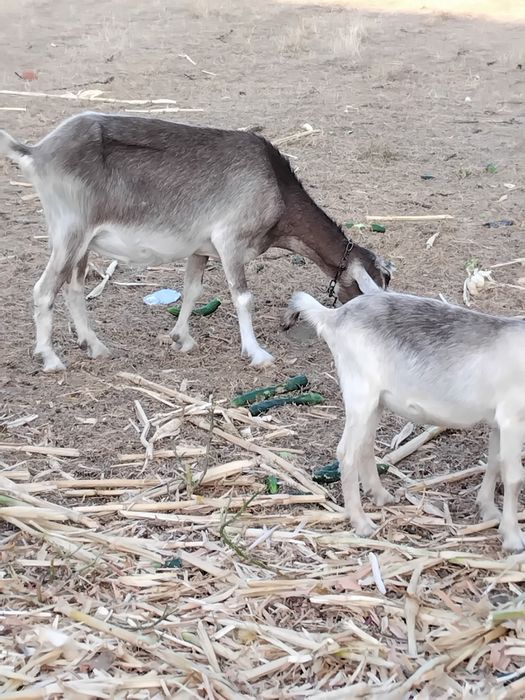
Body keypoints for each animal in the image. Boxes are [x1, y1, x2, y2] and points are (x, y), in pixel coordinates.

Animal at [0, 112, 392, 372]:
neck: (276, 188)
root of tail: (38, 151)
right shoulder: (230, 240)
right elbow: (243, 298)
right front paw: (258, 354)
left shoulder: (201, 249)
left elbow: (192, 290)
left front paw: (181, 339)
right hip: (70, 232)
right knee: (44, 290)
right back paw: (50, 358)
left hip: (82, 242)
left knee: (74, 288)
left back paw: (95, 346)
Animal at [290, 284, 525, 553]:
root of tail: (335, 316)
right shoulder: (513, 419)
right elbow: (514, 476)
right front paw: (513, 537)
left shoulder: (499, 422)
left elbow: (494, 463)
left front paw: (488, 510)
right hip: (360, 393)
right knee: (346, 453)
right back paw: (361, 523)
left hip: (376, 401)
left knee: (365, 445)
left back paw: (380, 496)